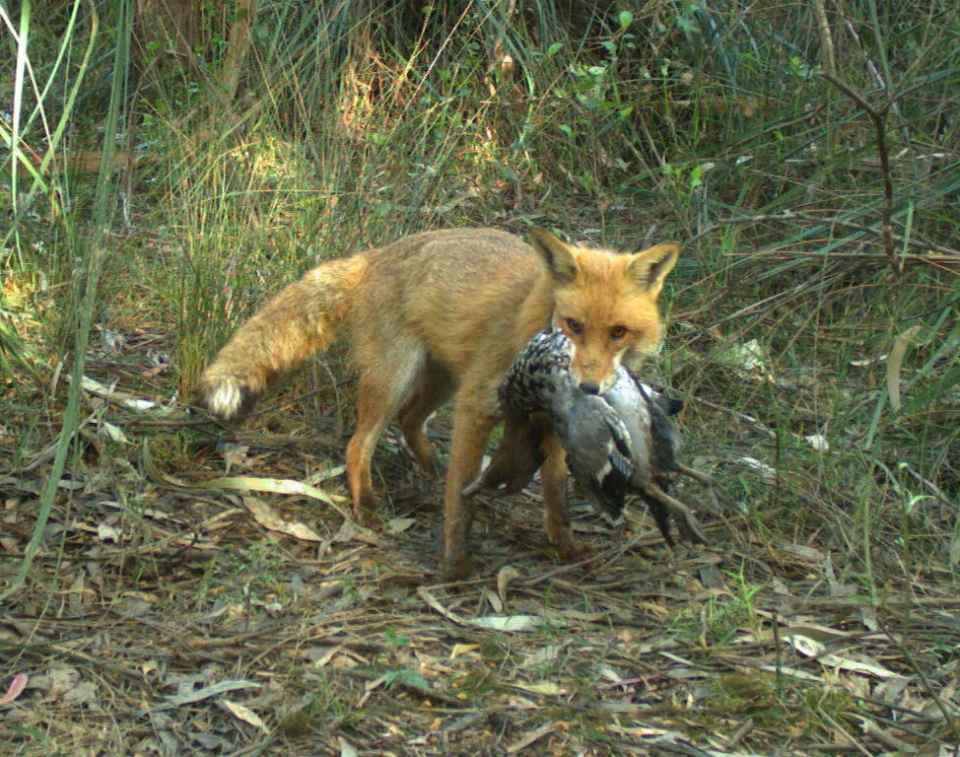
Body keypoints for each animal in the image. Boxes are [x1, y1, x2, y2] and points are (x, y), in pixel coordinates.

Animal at [199, 227, 680, 579]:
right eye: (574, 325)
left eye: (618, 332)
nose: (589, 388)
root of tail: (378, 253)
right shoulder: (476, 407)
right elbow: (460, 503)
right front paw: (454, 564)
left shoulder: (554, 425)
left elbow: (556, 500)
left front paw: (565, 549)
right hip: (397, 380)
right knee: (359, 444)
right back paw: (367, 507)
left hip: (441, 381)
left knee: (411, 422)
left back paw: (429, 469)